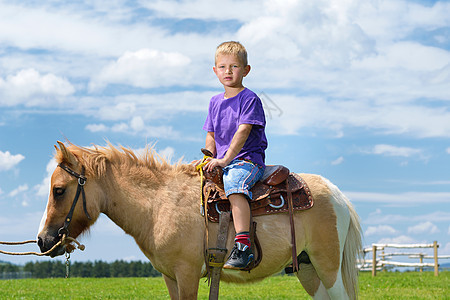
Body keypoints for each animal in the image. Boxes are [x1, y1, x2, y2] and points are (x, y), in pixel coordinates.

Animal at [38, 142, 362, 298]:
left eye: (59, 190)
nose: (43, 240)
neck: (158, 204)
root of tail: (336, 194)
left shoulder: (187, 273)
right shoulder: (170, 277)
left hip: (328, 268)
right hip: (308, 270)